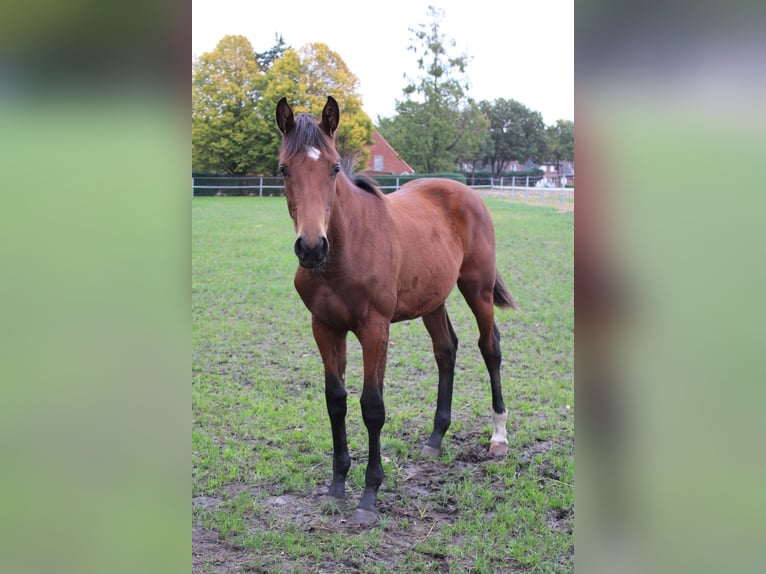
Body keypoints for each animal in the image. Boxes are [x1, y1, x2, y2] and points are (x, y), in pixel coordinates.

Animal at [275, 96, 517, 524]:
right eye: (284, 168)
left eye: (333, 167)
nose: (311, 247)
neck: (343, 251)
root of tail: (464, 190)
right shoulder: (324, 327)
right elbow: (335, 400)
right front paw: (337, 485)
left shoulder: (375, 329)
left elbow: (372, 406)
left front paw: (369, 496)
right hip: (433, 300)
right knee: (446, 350)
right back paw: (436, 438)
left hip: (478, 290)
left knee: (490, 348)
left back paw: (498, 436)